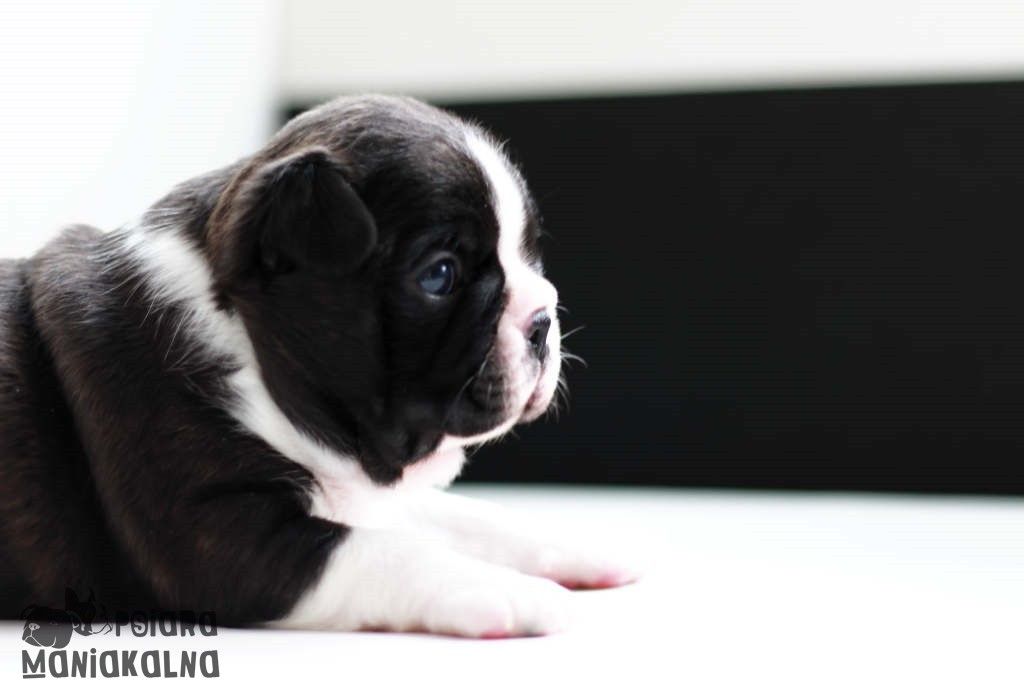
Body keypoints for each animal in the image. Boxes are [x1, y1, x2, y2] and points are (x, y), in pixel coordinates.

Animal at [0, 95, 636, 637]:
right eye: (439, 275)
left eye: (529, 256)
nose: (543, 318)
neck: (251, 350)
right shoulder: (212, 537)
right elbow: (389, 551)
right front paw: (512, 592)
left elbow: (466, 516)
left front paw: (568, 546)